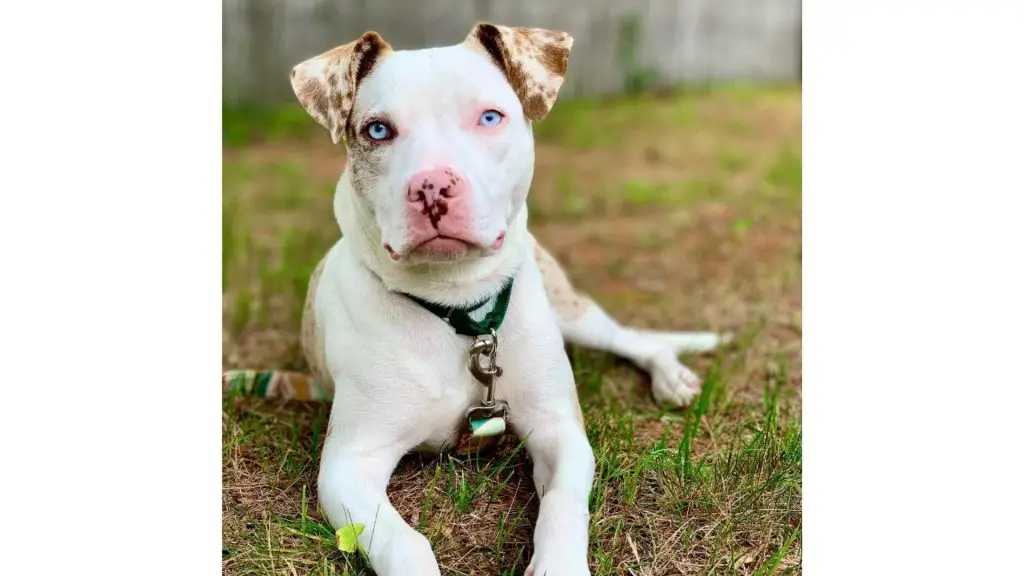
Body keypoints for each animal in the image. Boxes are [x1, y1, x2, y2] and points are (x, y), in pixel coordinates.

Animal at [288, 21, 720, 569]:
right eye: (377, 130)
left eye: (490, 117)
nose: (432, 186)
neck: (457, 308)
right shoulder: (349, 464)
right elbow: (403, 542)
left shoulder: (559, 429)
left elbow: (563, 505)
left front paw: (558, 565)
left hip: (570, 310)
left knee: (636, 340)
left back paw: (672, 377)